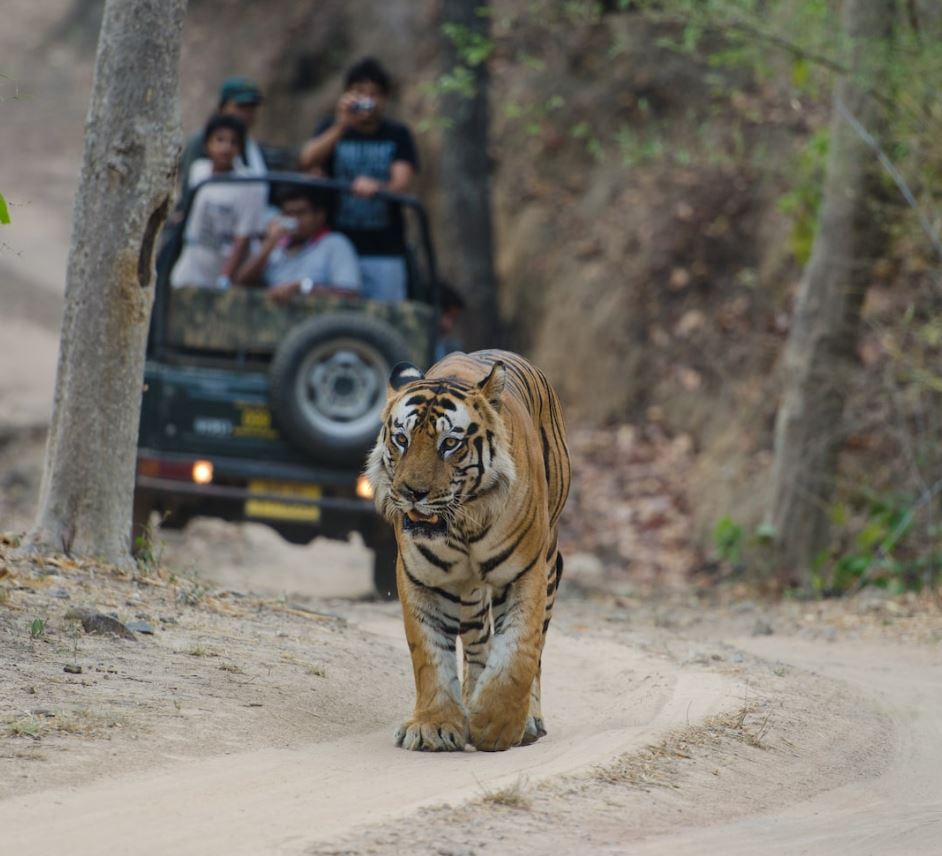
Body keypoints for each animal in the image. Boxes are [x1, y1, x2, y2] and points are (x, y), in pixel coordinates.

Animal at [365, 349, 570, 752]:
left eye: (449, 444)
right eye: (401, 439)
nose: (413, 492)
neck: (462, 526)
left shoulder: (526, 572)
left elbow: (519, 652)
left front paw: (496, 725)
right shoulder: (421, 577)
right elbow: (429, 655)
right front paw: (434, 726)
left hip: (550, 564)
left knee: (535, 650)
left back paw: (528, 721)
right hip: (471, 594)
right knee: (478, 643)